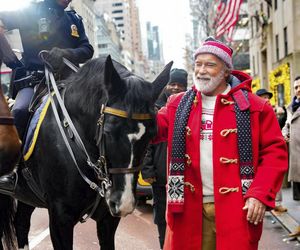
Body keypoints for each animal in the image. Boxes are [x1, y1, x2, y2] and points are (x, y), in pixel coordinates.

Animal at [0, 55, 171, 249]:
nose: (124, 202)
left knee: (21, 223)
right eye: (108, 131)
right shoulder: (60, 218)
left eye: (152, 134)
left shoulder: (107, 219)